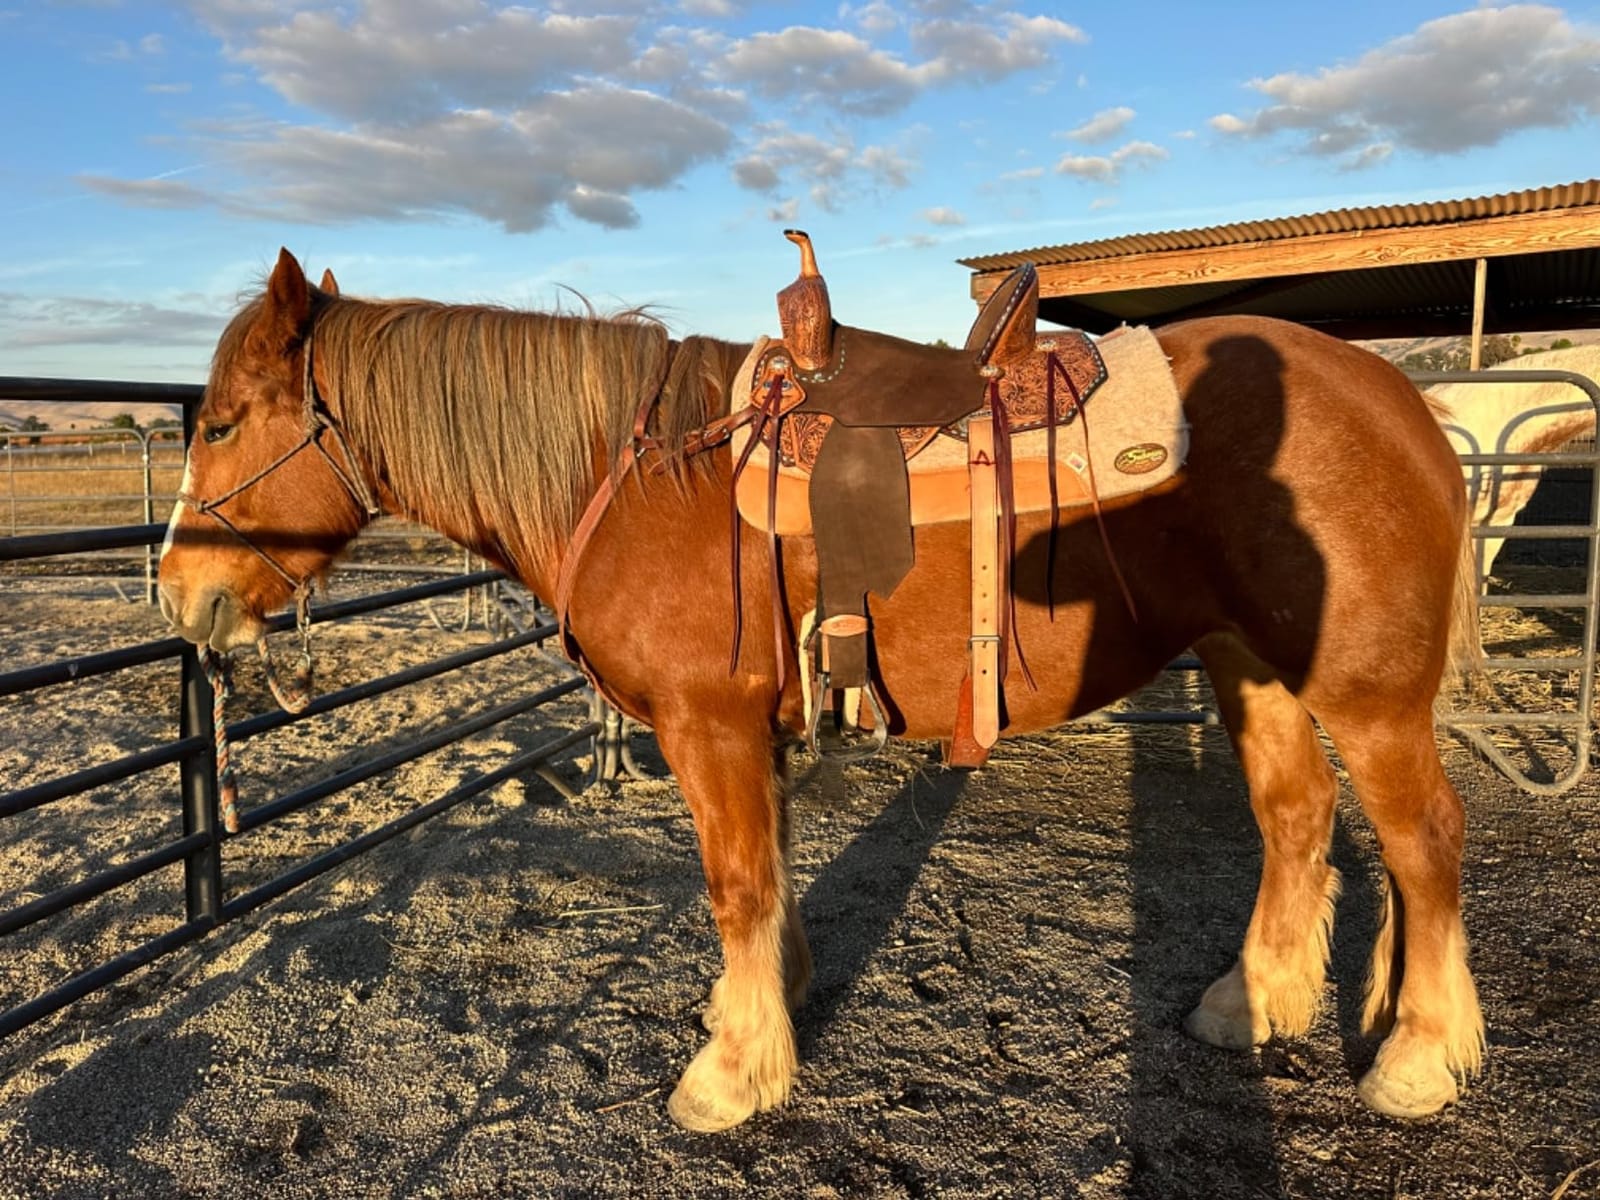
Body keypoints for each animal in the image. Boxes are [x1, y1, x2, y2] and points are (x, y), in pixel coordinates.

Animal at [158, 249, 1485, 1132]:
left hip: (1365, 694)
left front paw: (730, 1074)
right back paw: (1251, 1000)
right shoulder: (756, 729)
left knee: (1423, 842)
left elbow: (736, 885)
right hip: (1248, 664)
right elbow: (774, 876)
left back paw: (1417, 1057)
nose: (178, 594)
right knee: (1296, 817)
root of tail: (1403, 399)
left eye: (219, 425)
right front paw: (765, 1011)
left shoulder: (707, 728)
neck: (635, 477)